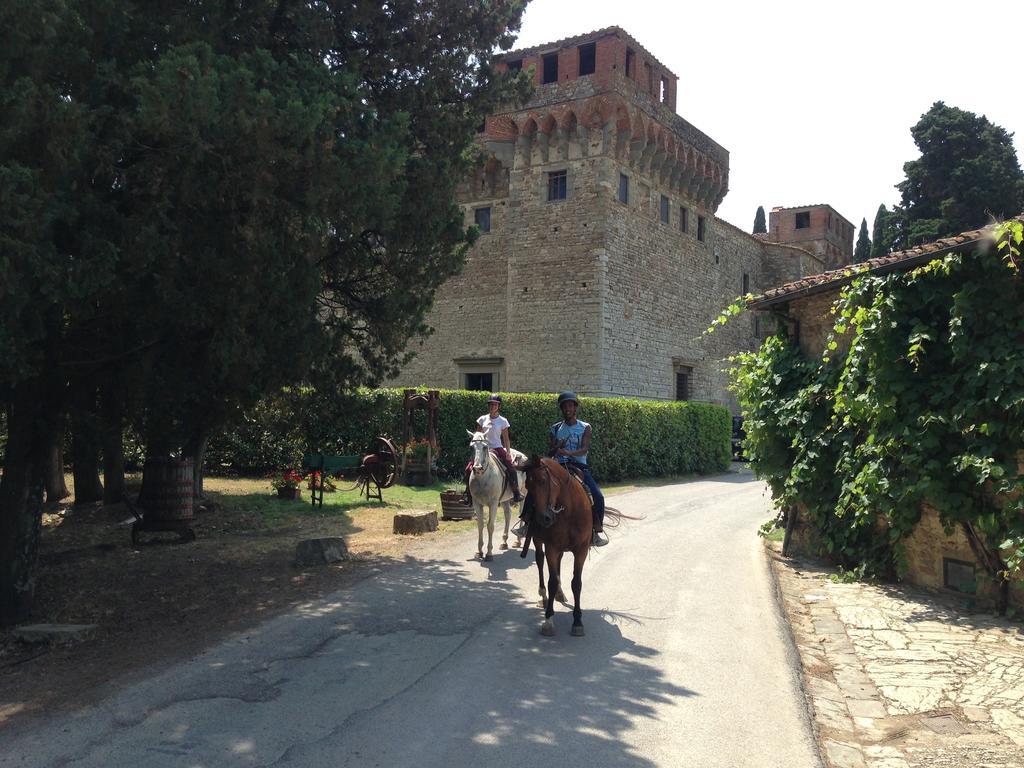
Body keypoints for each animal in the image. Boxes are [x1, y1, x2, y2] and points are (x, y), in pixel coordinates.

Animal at [466, 430, 524, 561]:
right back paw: (504, 542)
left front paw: (489, 553)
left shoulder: (493, 503)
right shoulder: (477, 503)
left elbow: (490, 526)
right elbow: (480, 525)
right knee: (508, 515)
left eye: (485, 447)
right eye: (471, 447)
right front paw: (479, 552)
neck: (483, 478)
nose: (477, 468)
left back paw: (518, 540)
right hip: (504, 499)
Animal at [520, 456, 593, 638]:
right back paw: (543, 596)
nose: (543, 519)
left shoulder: (581, 549)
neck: (570, 510)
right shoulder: (551, 547)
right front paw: (548, 621)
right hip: (538, 541)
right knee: (539, 561)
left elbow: (577, 583)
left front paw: (577, 621)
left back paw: (560, 593)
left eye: (543, 481)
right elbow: (551, 581)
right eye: (528, 486)